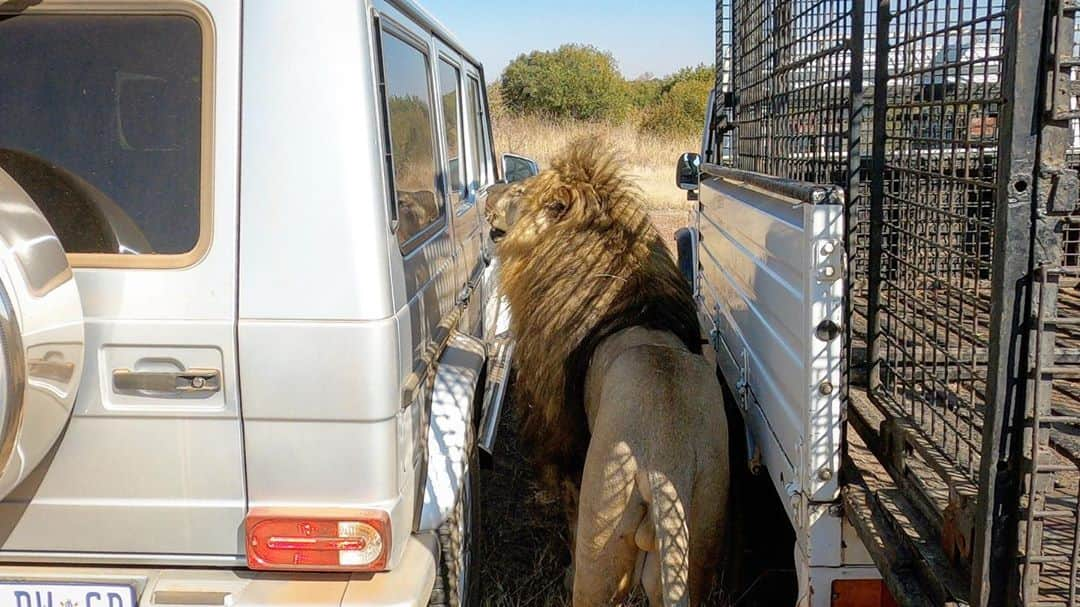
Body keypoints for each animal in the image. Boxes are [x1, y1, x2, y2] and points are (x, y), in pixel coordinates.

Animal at [492, 139, 734, 600]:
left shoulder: (565, 440)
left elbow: (567, 507)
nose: (488, 196)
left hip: (602, 540)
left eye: (520, 192)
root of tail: (665, 462)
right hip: (696, 539)